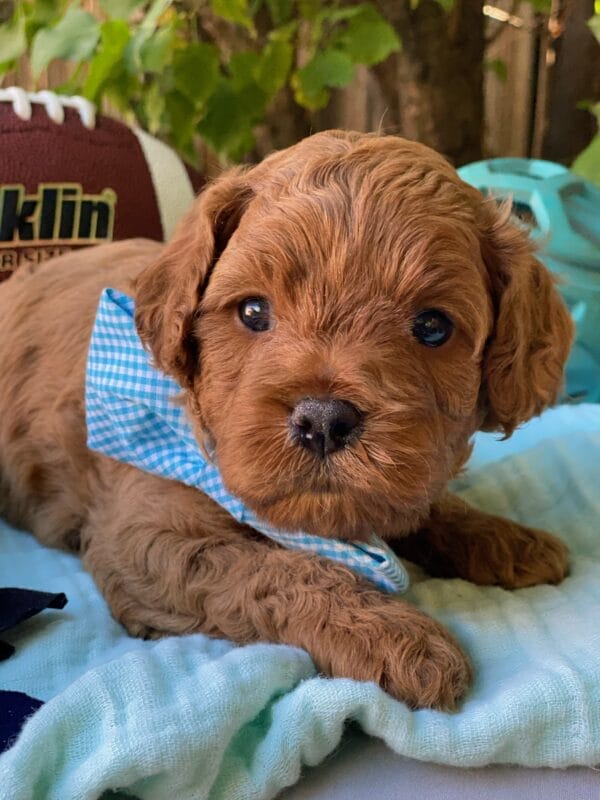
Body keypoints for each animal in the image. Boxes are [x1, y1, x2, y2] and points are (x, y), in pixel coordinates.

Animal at [0, 133, 572, 712]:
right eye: (254, 312)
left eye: (433, 326)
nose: (323, 420)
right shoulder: (148, 538)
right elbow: (279, 570)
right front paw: (397, 637)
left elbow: (428, 506)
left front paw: (507, 538)